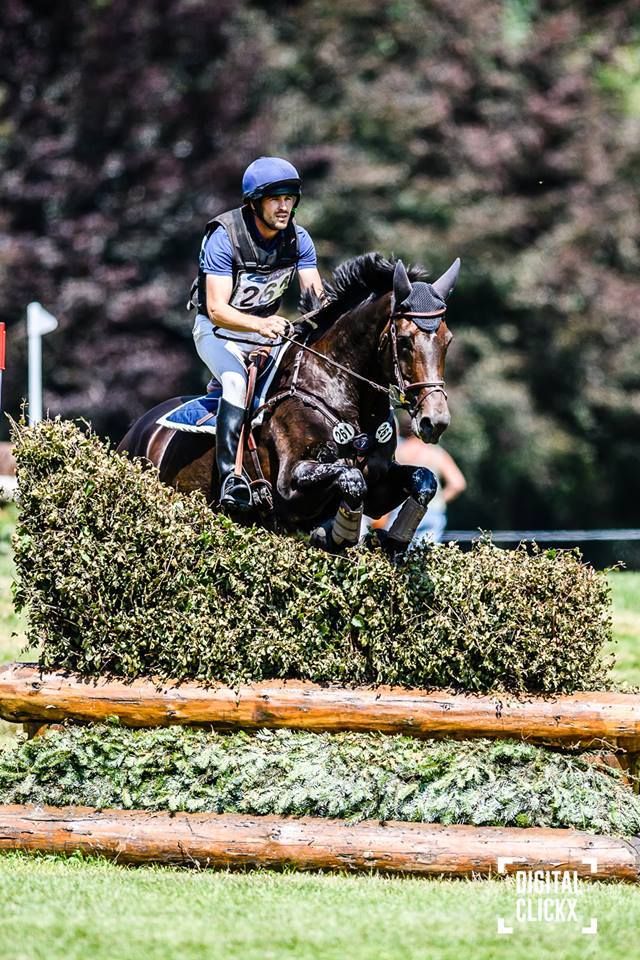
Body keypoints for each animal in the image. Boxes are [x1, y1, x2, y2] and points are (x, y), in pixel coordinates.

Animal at [119, 255, 460, 552]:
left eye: (448, 340)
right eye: (404, 340)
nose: (435, 421)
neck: (337, 388)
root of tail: (140, 427)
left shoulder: (380, 484)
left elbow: (422, 479)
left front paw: (392, 542)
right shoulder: (289, 486)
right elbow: (350, 477)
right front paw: (337, 533)